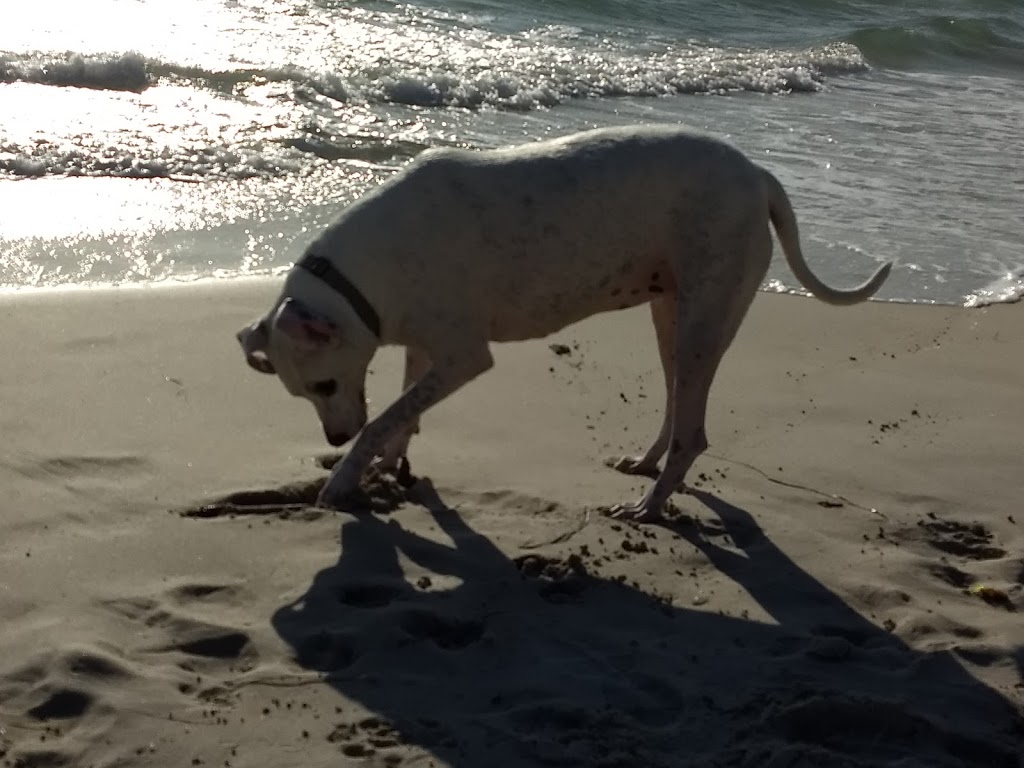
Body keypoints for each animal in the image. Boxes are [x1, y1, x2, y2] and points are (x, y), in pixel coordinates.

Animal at [237, 124, 888, 524]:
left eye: (323, 384)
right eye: (303, 393)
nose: (333, 439)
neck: (368, 272)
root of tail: (757, 175)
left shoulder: (464, 357)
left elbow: (388, 417)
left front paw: (346, 477)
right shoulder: (422, 347)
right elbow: (400, 415)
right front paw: (384, 467)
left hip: (707, 313)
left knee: (694, 431)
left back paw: (650, 506)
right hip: (671, 313)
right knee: (677, 404)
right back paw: (646, 465)